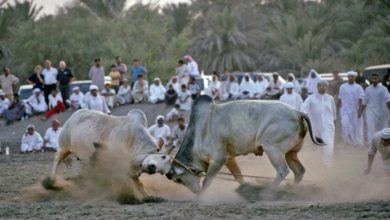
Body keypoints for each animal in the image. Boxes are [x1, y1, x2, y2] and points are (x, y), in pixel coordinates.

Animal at [165, 95, 322, 193]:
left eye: (179, 179)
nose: (195, 191)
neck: (199, 133)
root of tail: (297, 112)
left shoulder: (218, 159)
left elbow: (207, 182)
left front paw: (200, 197)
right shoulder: (229, 159)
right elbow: (239, 177)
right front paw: (244, 188)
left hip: (273, 149)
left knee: (283, 171)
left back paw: (267, 193)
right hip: (290, 153)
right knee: (299, 171)